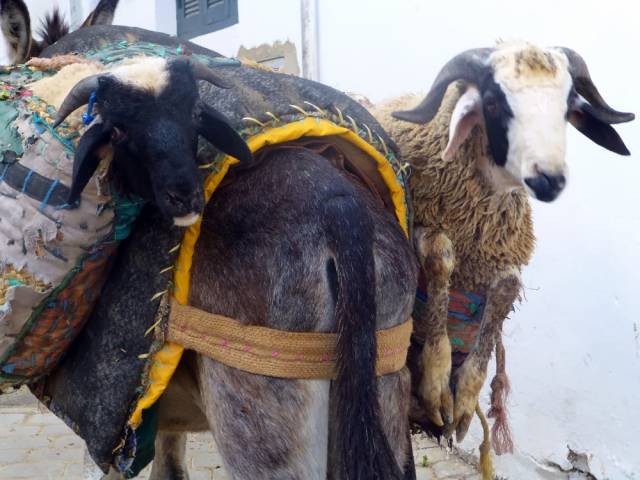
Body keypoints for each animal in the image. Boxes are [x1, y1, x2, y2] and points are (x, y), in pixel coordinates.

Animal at [374, 41, 634, 445]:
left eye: (567, 104)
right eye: (494, 102)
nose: (549, 179)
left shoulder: (500, 252)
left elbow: (507, 289)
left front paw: (465, 400)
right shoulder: (422, 218)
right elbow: (440, 255)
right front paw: (437, 380)